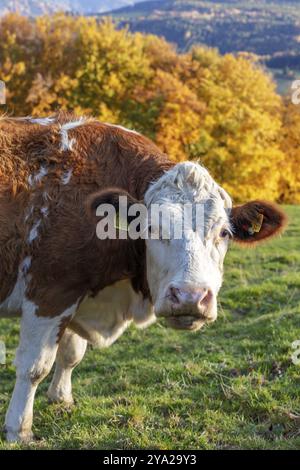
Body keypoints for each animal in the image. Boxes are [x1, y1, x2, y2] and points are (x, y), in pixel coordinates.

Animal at [0, 112, 288, 442]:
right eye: (151, 227)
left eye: (224, 232)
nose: (190, 297)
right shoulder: (49, 292)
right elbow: (34, 366)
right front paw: (18, 428)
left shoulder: (76, 291)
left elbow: (70, 353)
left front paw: (62, 398)